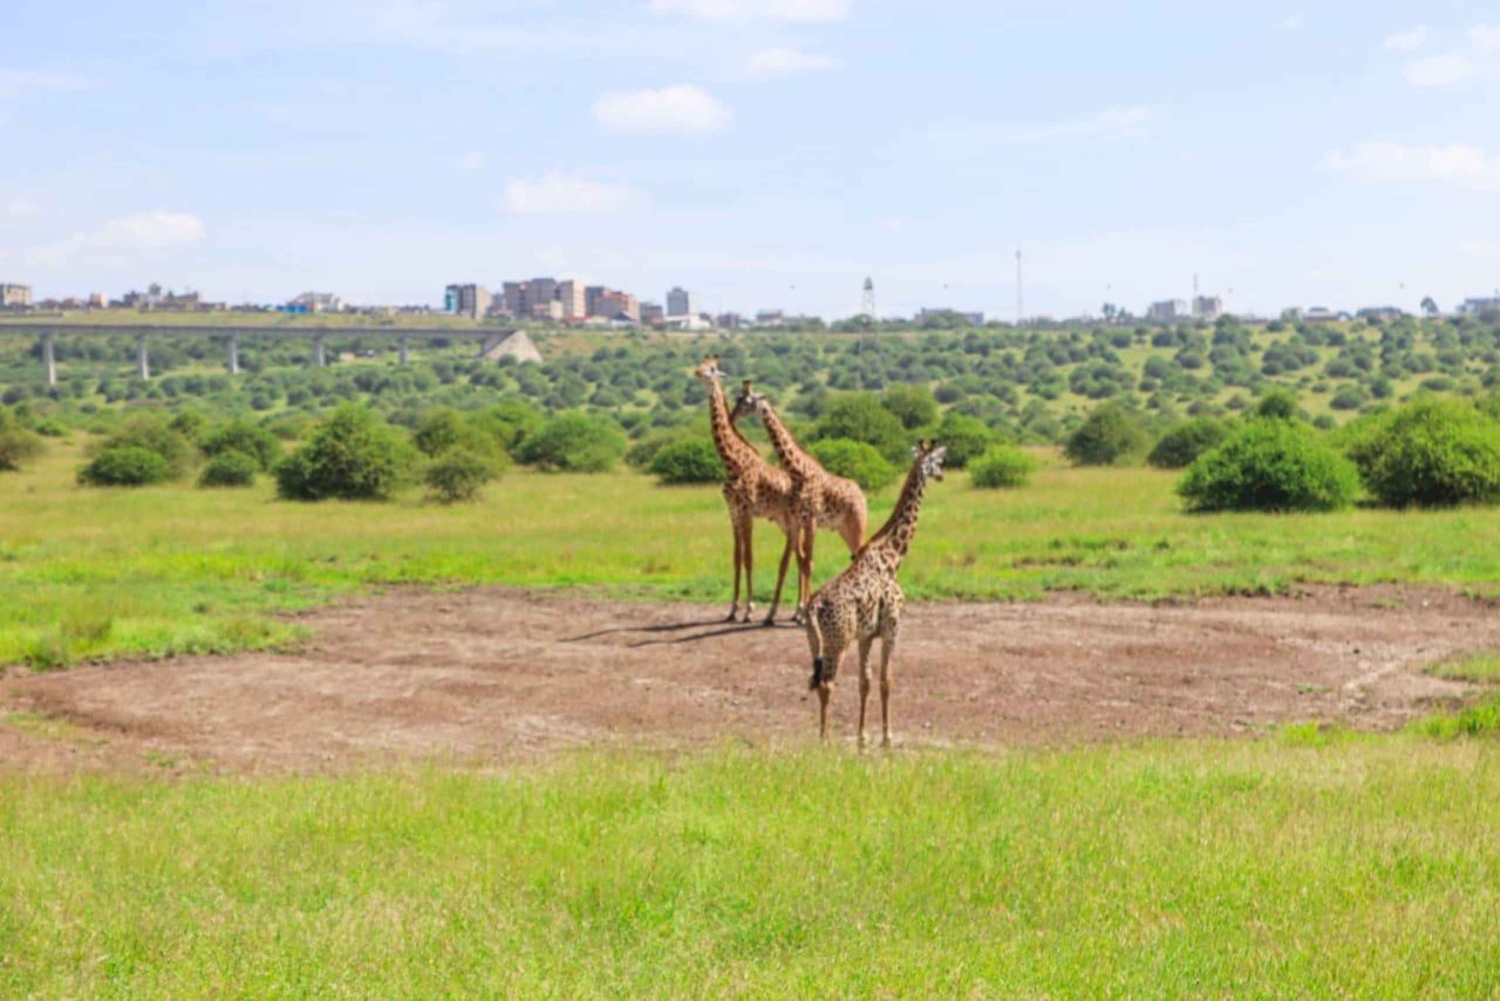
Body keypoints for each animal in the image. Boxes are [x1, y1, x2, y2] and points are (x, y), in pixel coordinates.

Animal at [692, 357, 798, 624]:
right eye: (701, 363)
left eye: (711, 369)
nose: (697, 372)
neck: (733, 464)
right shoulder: (733, 512)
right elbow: (736, 558)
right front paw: (732, 610)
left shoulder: (748, 512)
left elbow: (749, 558)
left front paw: (749, 610)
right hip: (782, 522)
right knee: (799, 555)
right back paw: (794, 611)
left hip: (794, 522)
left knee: (800, 556)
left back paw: (797, 610)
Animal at [732, 383, 867, 622]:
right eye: (738, 398)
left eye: (747, 401)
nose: (732, 415)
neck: (797, 472)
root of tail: (862, 495)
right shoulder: (796, 521)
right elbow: (798, 562)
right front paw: (787, 612)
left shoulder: (811, 521)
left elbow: (808, 563)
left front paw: (806, 612)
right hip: (844, 529)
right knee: (858, 557)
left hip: (857, 523)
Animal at [803, 441, 946, 749]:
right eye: (938, 461)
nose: (941, 475)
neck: (892, 556)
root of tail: (814, 605)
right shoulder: (892, 626)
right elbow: (886, 680)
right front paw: (887, 736)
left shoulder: (866, 635)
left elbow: (864, 682)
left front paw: (862, 736)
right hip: (838, 640)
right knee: (827, 682)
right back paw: (824, 740)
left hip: (815, 642)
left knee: (817, 681)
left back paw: (824, 736)